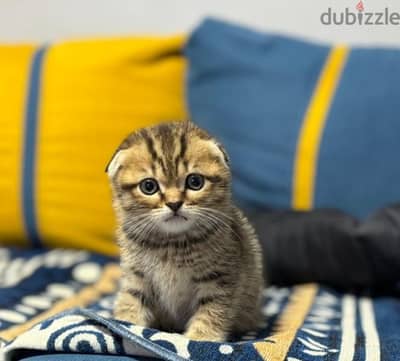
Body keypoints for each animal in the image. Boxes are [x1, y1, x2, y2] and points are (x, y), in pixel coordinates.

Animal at [106, 120, 264, 340]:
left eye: (195, 182)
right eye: (149, 186)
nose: (174, 204)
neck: (171, 244)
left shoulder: (220, 277)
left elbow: (212, 311)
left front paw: (200, 338)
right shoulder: (136, 276)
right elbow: (131, 301)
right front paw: (126, 324)